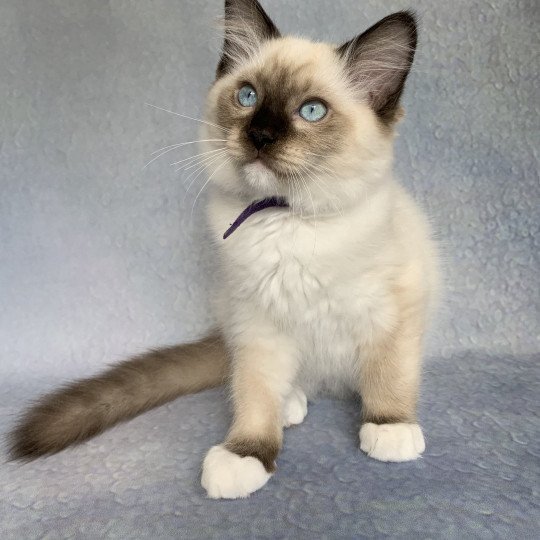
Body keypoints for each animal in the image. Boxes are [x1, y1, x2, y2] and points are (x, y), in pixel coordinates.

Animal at [8, 0, 438, 500]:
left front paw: (390, 428)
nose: (261, 135)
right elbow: (254, 394)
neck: (284, 218)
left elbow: (389, 375)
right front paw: (246, 455)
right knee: (272, 380)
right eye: (248, 97)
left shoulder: (395, 311)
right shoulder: (259, 323)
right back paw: (289, 404)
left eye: (311, 110)